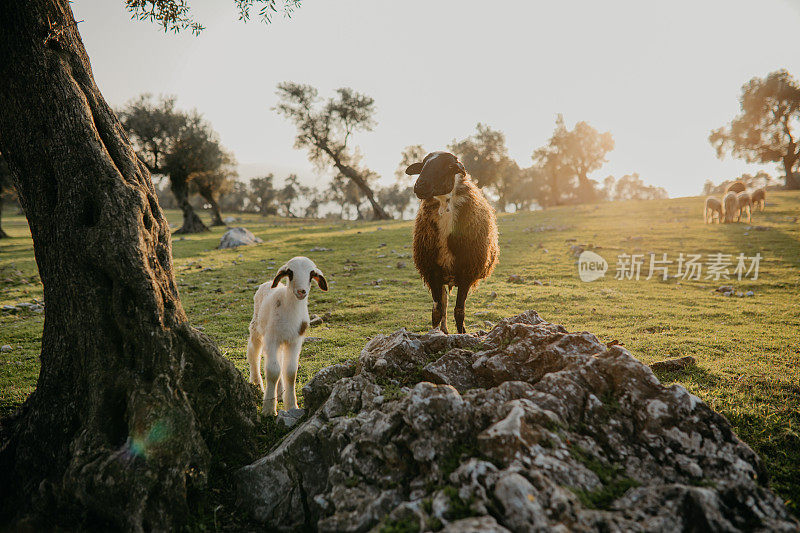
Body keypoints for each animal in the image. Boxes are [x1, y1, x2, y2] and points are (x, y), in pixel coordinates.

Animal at [247, 256, 328, 414]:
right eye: (290, 272)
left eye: (311, 274)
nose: (302, 291)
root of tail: (267, 283)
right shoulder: (272, 339)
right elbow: (273, 371)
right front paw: (268, 410)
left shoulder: (294, 341)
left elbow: (290, 372)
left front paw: (291, 406)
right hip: (257, 327)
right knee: (253, 352)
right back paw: (257, 384)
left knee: (279, 361)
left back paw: (279, 393)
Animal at [410, 151, 496, 332]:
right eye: (422, 165)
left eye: (449, 166)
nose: (419, 186)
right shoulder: (432, 272)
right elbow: (437, 311)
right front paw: (436, 333)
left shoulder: (467, 273)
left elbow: (459, 311)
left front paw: (462, 333)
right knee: (443, 304)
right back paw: (443, 330)